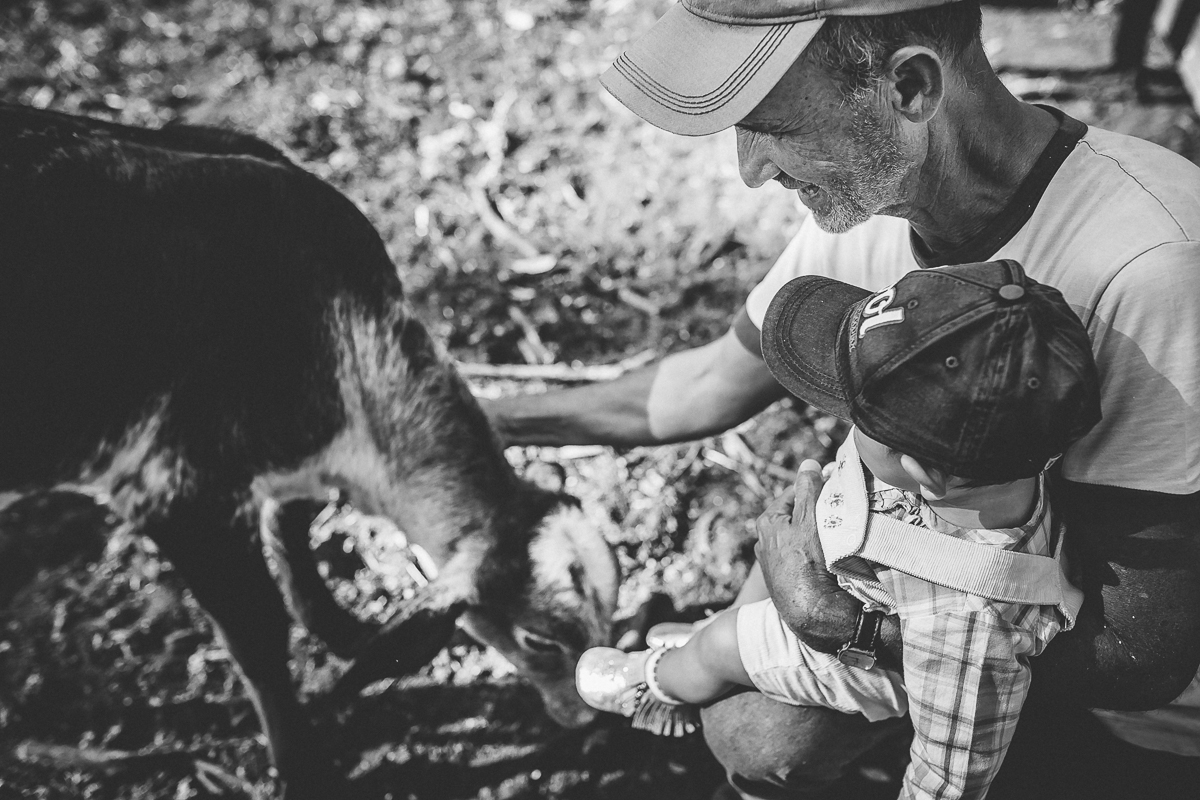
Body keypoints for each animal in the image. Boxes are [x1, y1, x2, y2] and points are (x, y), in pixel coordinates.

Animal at [0, 103, 620, 799]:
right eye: (540, 640)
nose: (600, 720)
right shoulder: (178, 494)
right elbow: (262, 642)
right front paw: (303, 768)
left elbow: (292, 524)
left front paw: (344, 633)